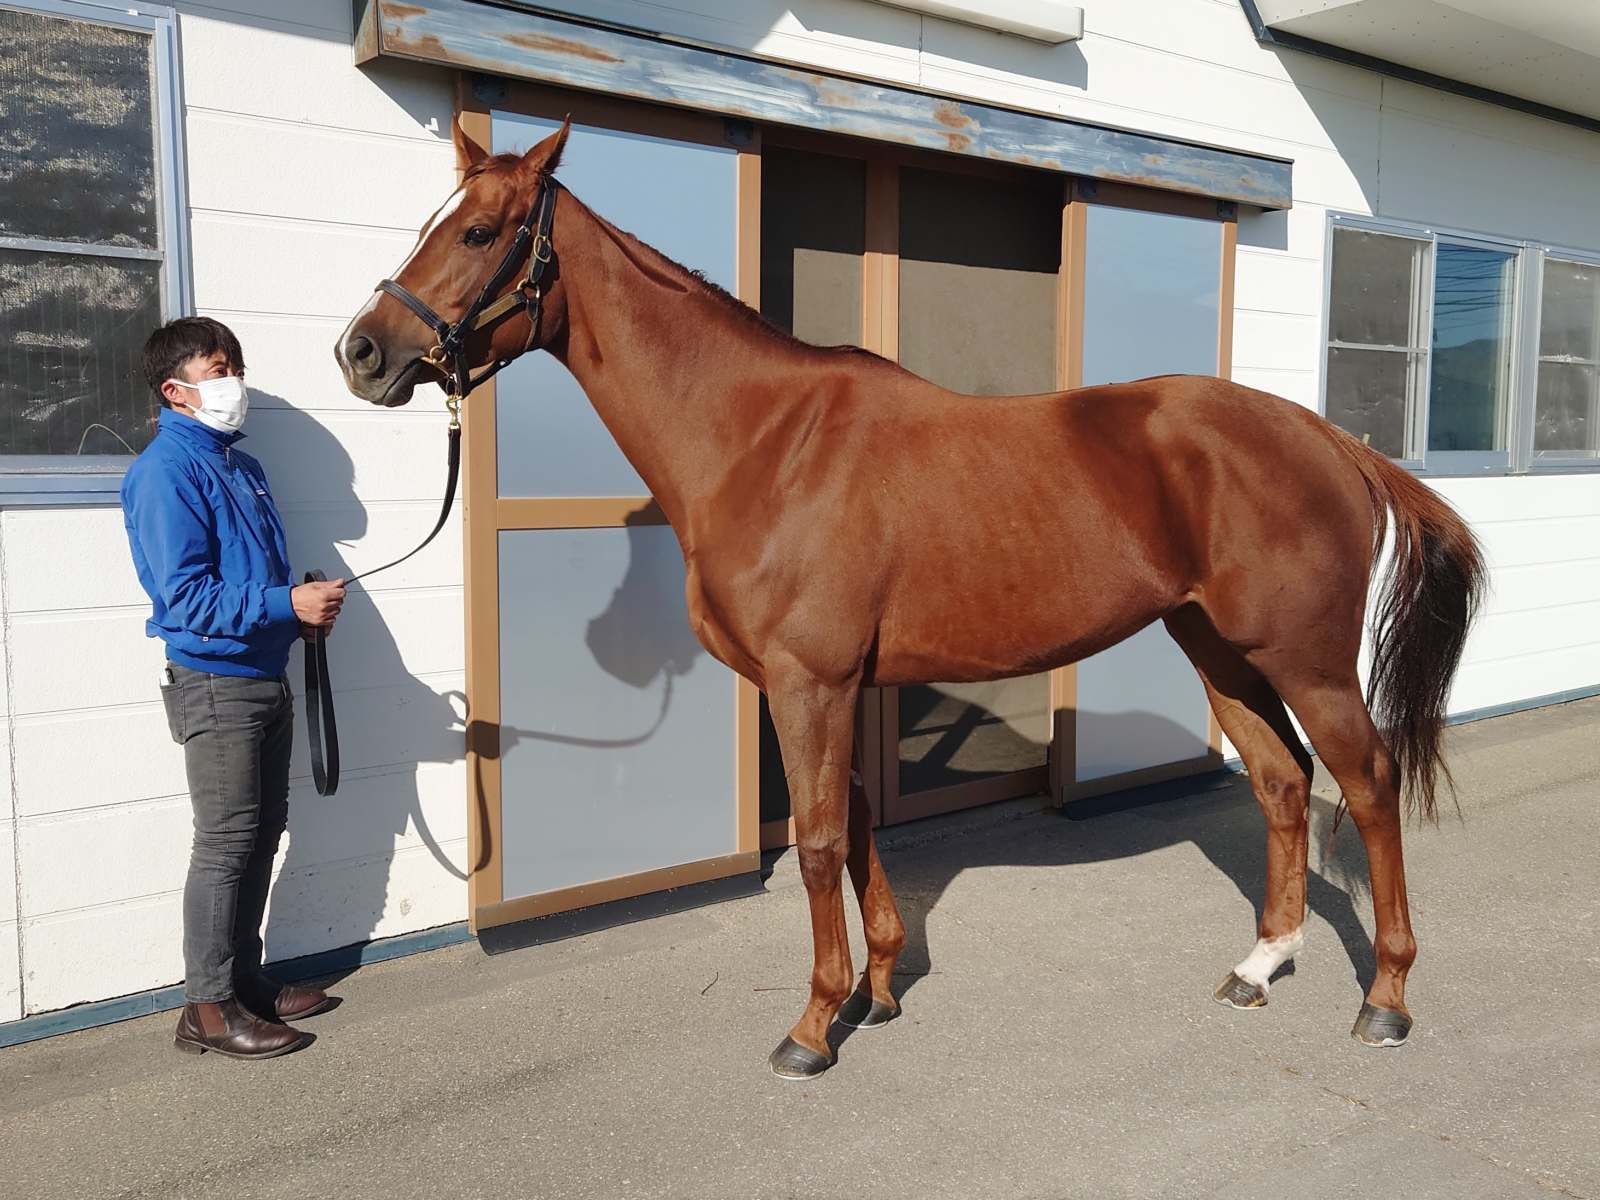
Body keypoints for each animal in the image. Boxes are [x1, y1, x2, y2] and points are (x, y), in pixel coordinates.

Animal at [337, 122, 1484, 1081]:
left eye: (479, 230)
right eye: (432, 219)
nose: (362, 352)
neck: (764, 440)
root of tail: (1326, 436)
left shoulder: (809, 681)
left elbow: (814, 844)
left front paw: (811, 1028)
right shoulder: (832, 684)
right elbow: (853, 827)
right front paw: (877, 990)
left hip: (1306, 660)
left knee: (1367, 784)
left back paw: (1385, 997)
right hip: (1219, 649)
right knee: (1283, 783)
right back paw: (1260, 965)